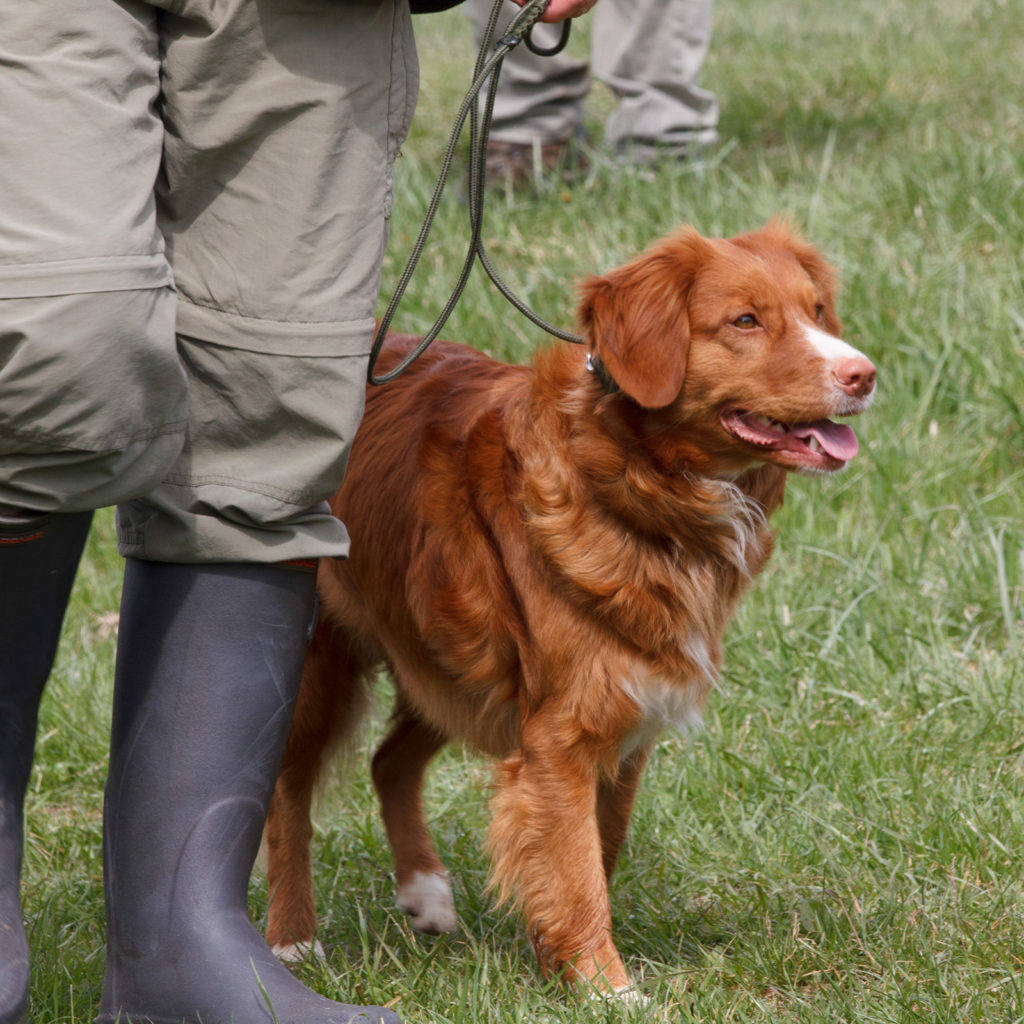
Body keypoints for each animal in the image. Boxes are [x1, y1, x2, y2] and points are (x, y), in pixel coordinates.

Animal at [262, 222, 872, 991]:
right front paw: (608, 988)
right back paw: (292, 939)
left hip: (448, 663)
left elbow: (594, 852)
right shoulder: (562, 731)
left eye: (818, 310)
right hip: (326, 661)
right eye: (745, 321)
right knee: (288, 786)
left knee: (390, 761)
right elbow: (576, 865)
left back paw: (425, 893)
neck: (640, 485)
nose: (863, 374)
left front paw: (564, 963)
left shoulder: (626, 716)